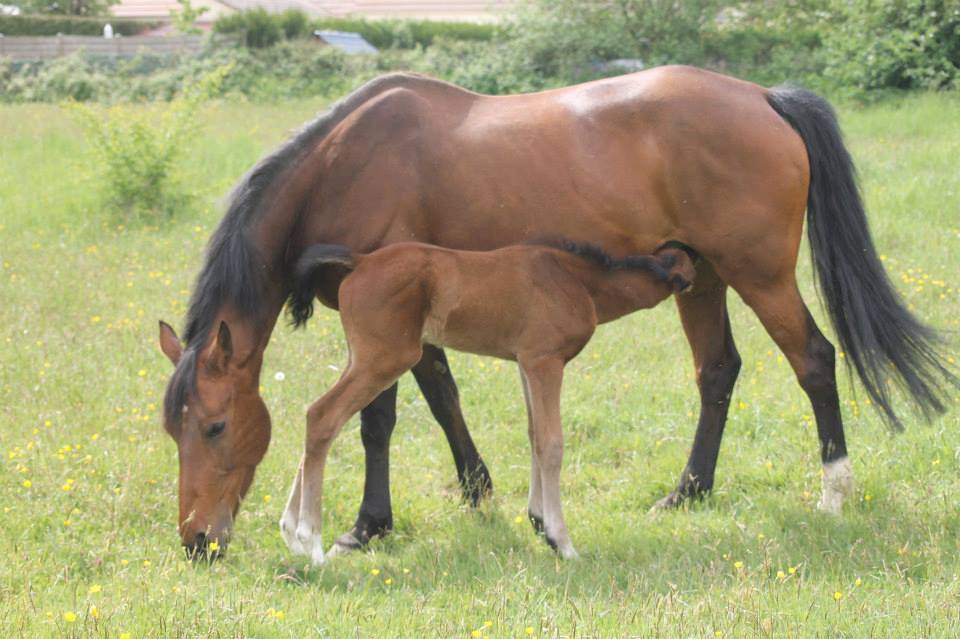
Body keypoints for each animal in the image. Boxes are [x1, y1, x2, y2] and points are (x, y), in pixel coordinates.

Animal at [282, 241, 692, 564]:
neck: (577, 281)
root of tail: (361, 260)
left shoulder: (526, 363)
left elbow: (534, 436)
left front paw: (540, 522)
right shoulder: (545, 361)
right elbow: (552, 444)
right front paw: (562, 543)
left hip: (360, 359)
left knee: (314, 417)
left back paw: (291, 534)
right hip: (385, 359)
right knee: (323, 416)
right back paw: (310, 542)